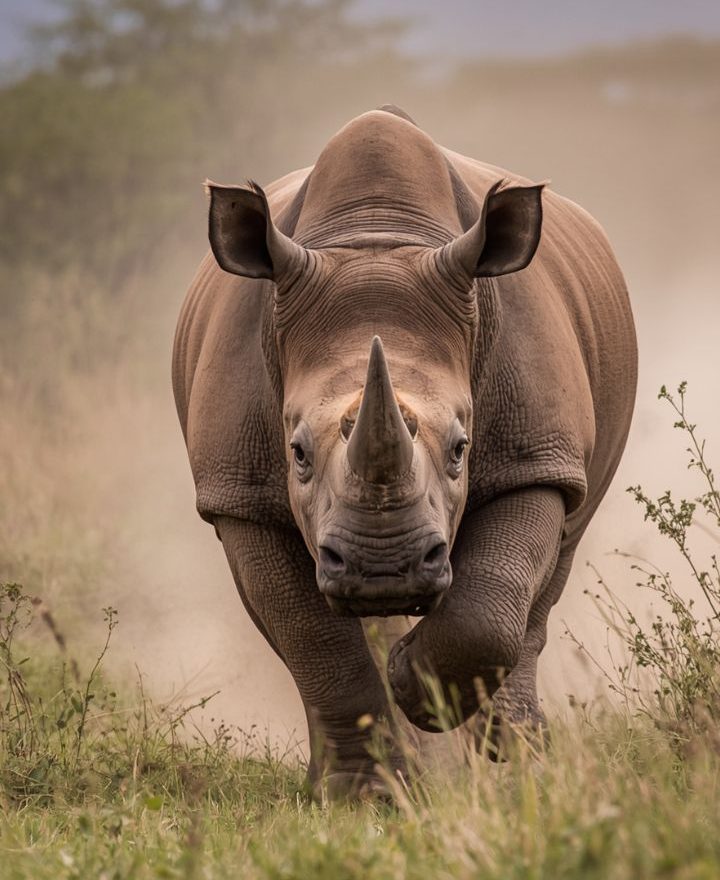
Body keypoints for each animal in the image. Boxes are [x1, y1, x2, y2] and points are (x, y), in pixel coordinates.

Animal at [172, 106, 636, 797]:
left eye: (462, 447)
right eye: (296, 451)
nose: (384, 567)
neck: (375, 237)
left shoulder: (537, 459)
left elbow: (490, 608)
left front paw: (418, 690)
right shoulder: (238, 492)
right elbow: (313, 643)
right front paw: (358, 796)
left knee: (548, 573)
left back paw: (514, 756)